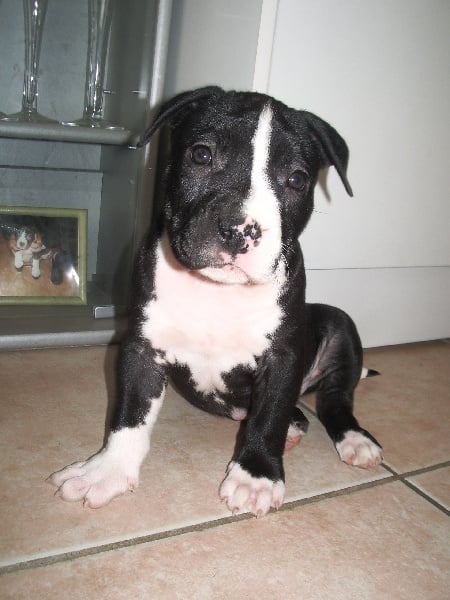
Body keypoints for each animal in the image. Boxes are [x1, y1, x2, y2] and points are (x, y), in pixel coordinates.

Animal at [50, 87, 383, 517]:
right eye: (202, 154)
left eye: (296, 179)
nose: (240, 229)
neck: (216, 290)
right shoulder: (142, 347)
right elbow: (130, 414)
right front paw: (106, 471)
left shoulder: (284, 356)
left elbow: (269, 415)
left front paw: (256, 476)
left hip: (340, 325)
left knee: (334, 400)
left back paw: (354, 438)